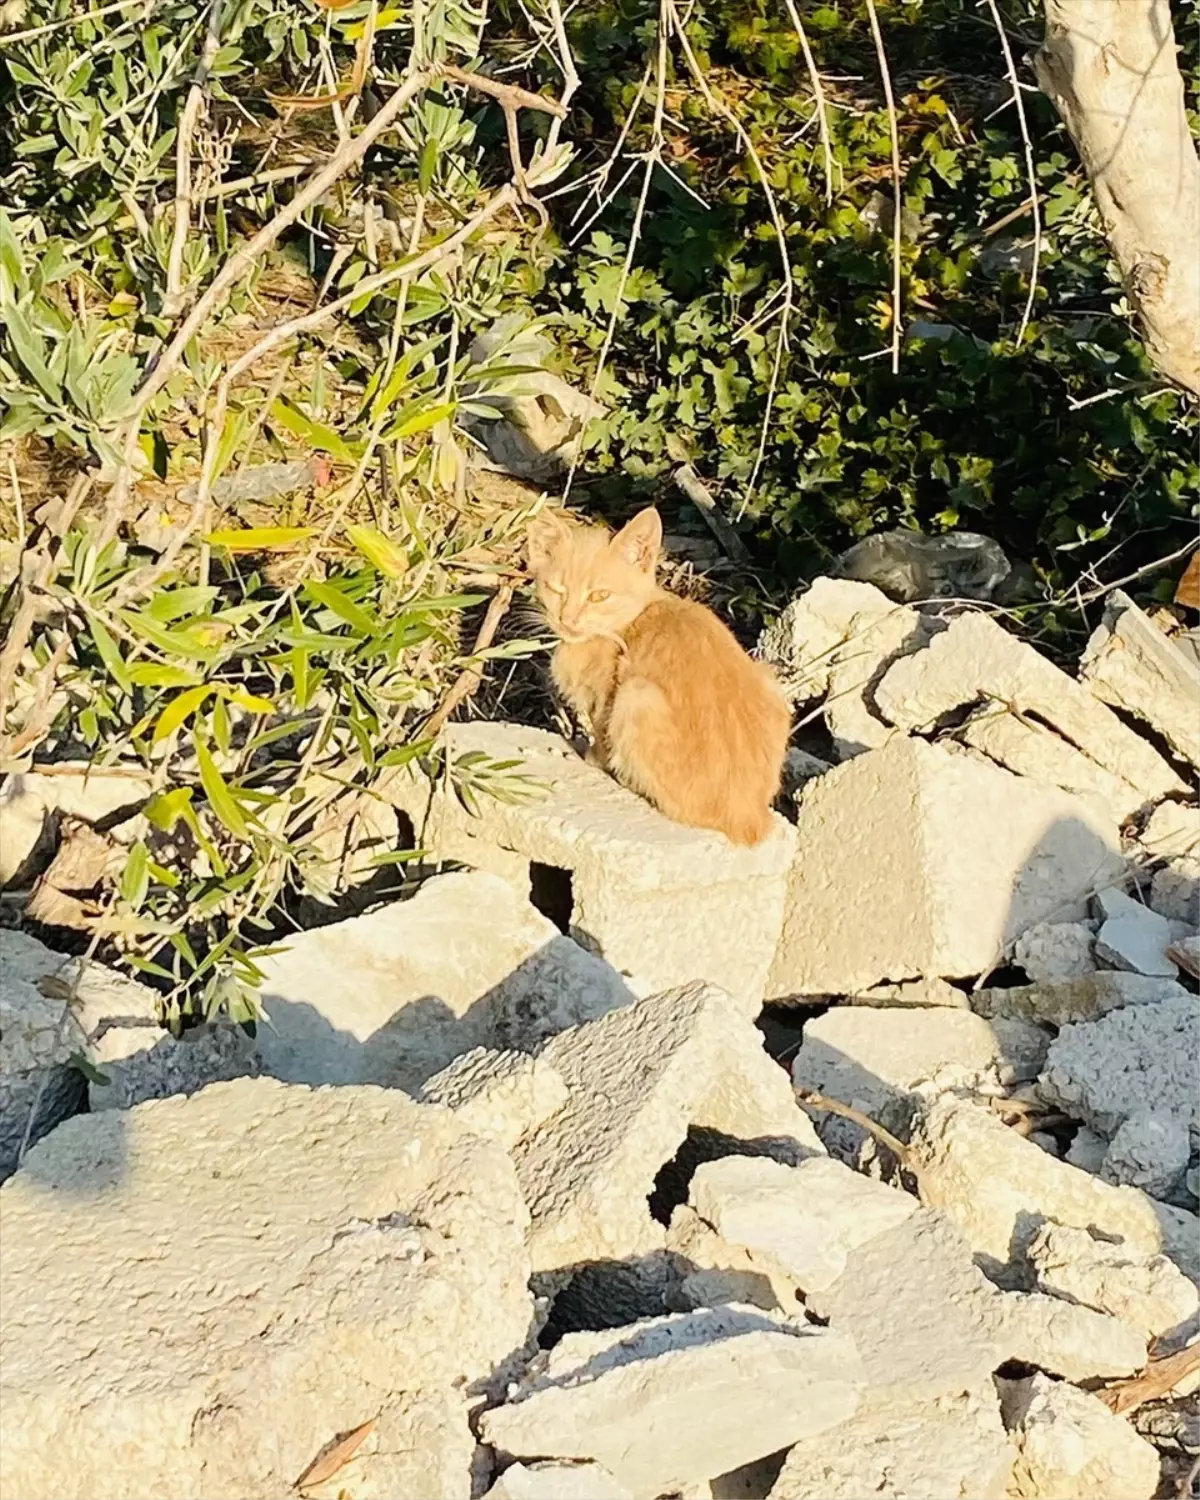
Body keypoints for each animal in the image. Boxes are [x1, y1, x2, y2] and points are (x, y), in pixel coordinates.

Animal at [522, 507, 786, 846]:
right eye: (558, 590)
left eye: (599, 596)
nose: (567, 620)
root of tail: (751, 818)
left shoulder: (605, 699)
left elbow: (601, 737)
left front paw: (590, 757)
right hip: (769, 678)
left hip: (636, 695)